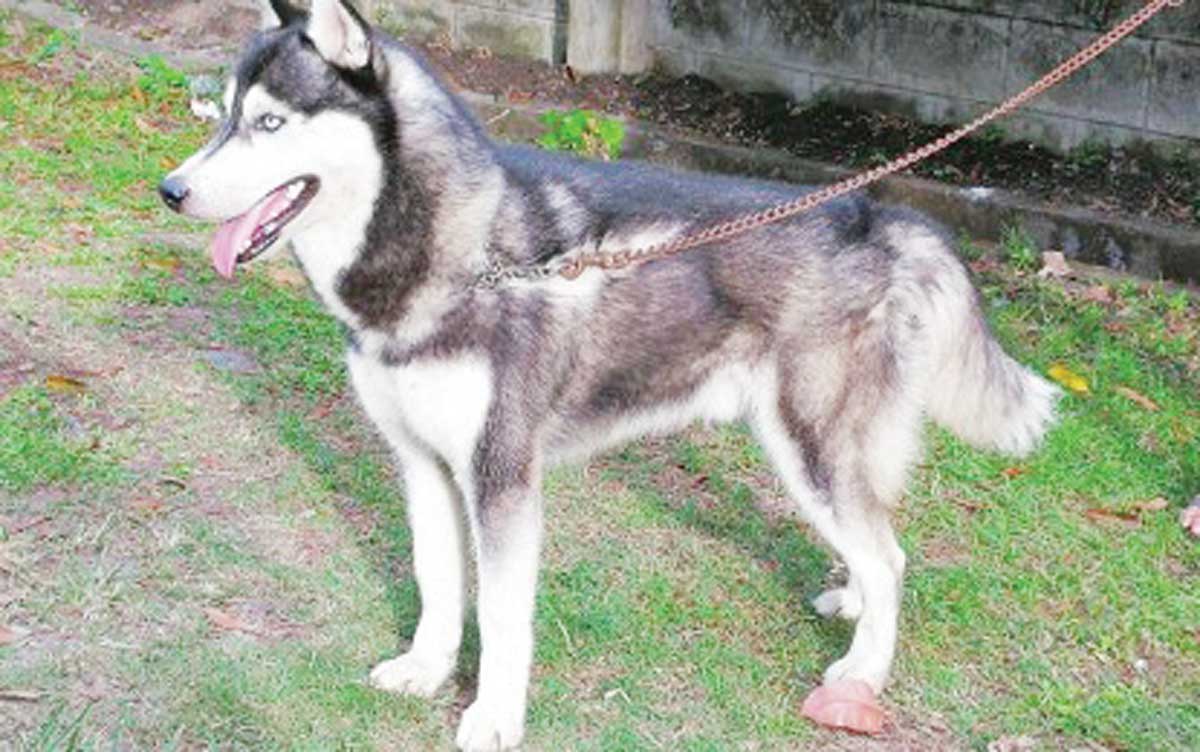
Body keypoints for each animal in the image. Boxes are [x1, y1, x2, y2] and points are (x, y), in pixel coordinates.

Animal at [159, 2, 1060, 748]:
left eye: (270, 122)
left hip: (808, 446)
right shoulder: (423, 464)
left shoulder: (501, 478)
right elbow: (438, 583)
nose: (172, 190)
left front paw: (493, 717)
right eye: (225, 113)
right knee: (873, 540)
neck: (459, 256)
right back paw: (854, 603)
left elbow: (503, 614)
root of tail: (883, 216)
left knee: (890, 555)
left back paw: (863, 671)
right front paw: (426, 670)